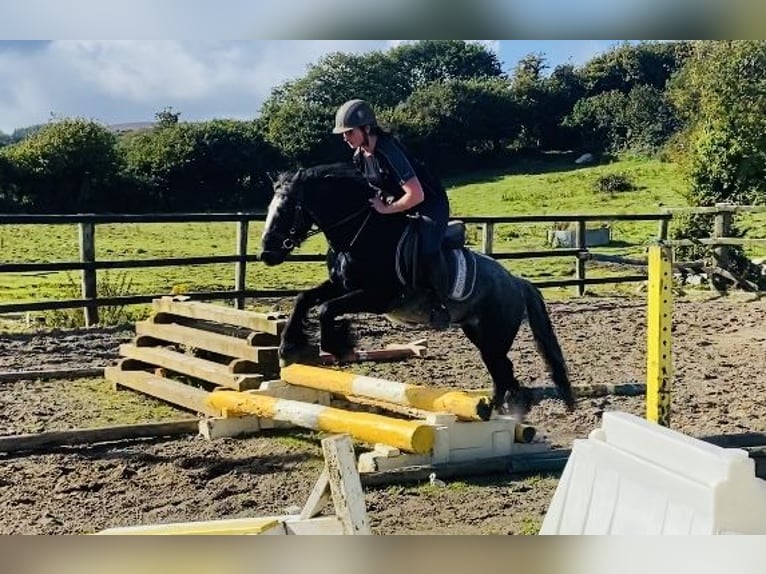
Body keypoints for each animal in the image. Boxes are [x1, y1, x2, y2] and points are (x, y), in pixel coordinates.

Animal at [260, 164, 576, 420]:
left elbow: (327, 309)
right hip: (479, 335)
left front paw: (339, 345)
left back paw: (497, 412)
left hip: (494, 337)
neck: (361, 235)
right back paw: (495, 411)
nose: (266, 254)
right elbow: (305, 299)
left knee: (504, 373)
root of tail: (516, 281)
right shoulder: (342, 286)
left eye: (286, 209)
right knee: (504, 373)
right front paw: (289, 347)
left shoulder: (378, 297)